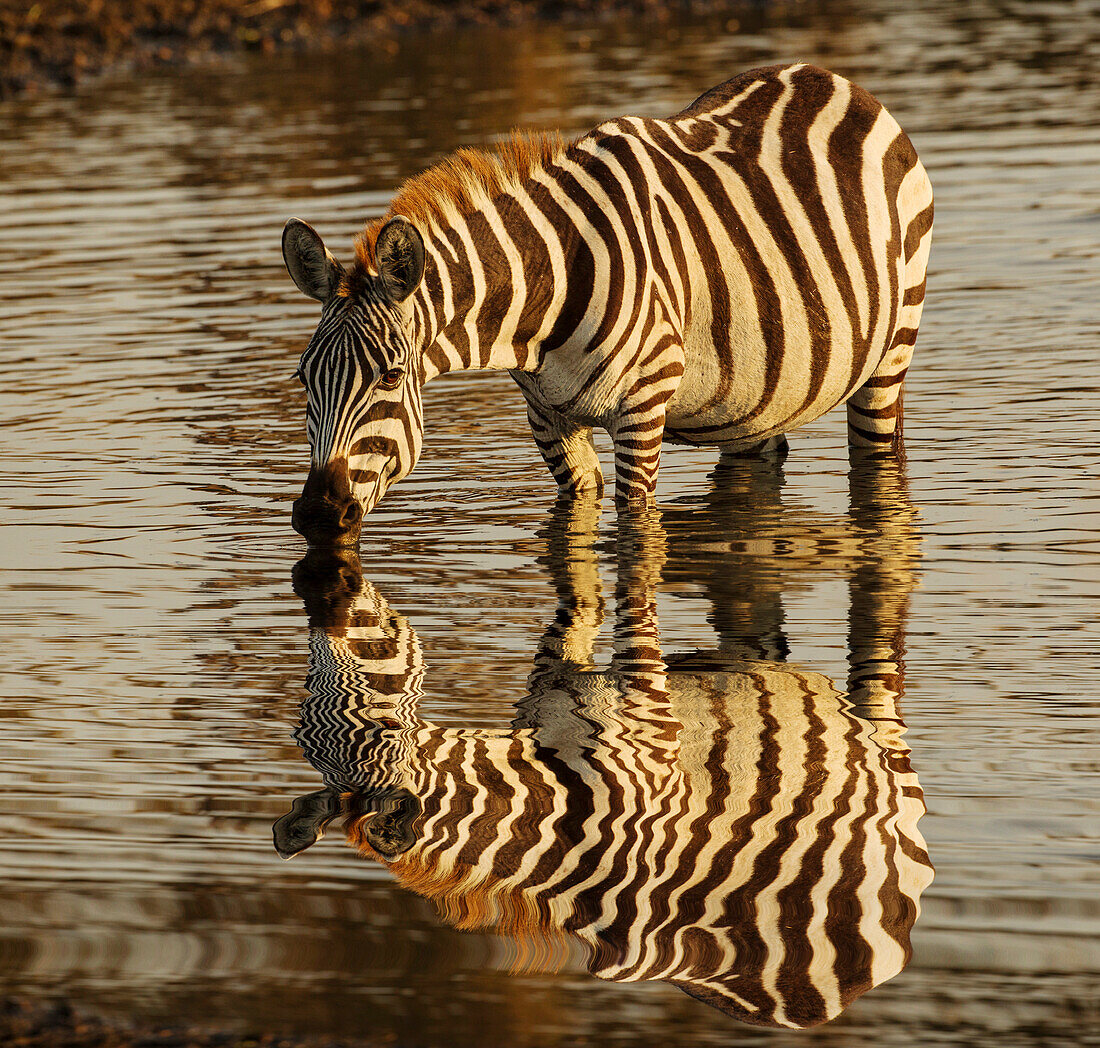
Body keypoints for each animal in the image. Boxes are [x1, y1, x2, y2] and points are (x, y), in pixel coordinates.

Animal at [281, 63, 928, 547]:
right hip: (754, 389)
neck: (545, 301)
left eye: (390, 376)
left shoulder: (644, 407)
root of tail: (828, 76)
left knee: (881, 464)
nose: (318, 517)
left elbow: (634, 549)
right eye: (304, 379)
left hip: (891, 350)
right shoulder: (549, 420)